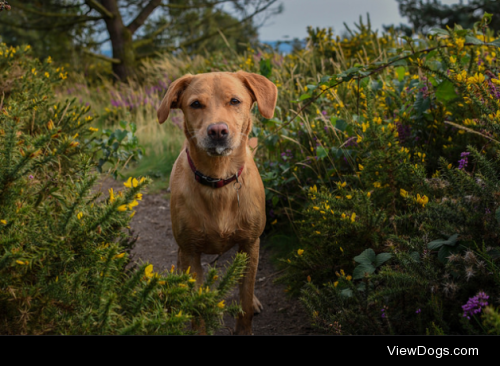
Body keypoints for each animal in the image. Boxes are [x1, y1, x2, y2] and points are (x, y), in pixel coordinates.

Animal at [157, 69, 278, 334]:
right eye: (195, 104)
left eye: (234, 101)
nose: (218, 131)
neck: (218, 179)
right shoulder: (190, 251)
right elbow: (197, 309)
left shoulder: (250, 244)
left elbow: (245, 298)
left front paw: (245, 324)